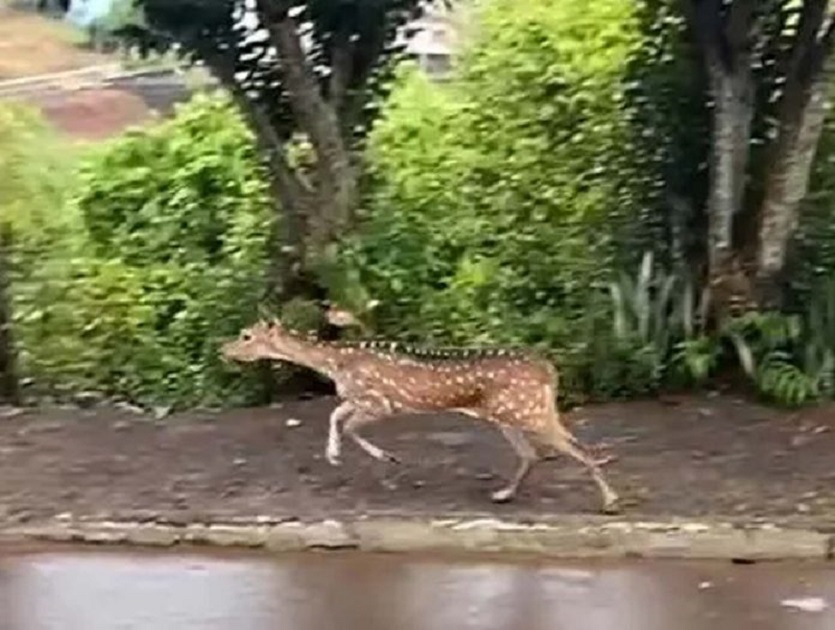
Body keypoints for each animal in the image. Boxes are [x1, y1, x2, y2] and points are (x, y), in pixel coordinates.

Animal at [222, 320, 620, 512]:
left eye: (247, 335)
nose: (223, 349)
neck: (335, 363)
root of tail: (550, 371)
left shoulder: (381, 401)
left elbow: (347, 424)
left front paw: (387, 458)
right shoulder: (359, 397)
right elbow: (336, 415)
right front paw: (334, 455)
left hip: (528, 410)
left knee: (578, 447)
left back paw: (610, 502)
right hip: (510, 414)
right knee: (533, 453)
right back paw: (504, 494)